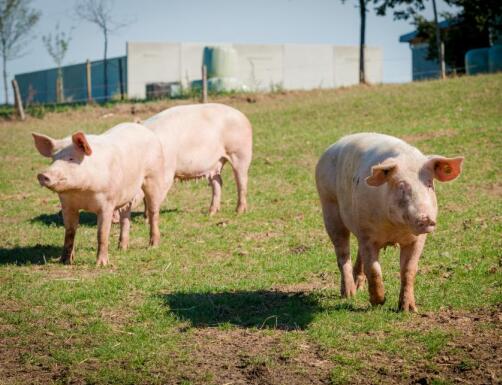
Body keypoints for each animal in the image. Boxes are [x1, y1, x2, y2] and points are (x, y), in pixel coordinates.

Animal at [33, 122, 167, 264]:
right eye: (53, 159)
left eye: (71, 159)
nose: (42, 175)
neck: (81, 192)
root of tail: (145, 130)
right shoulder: (67, 205)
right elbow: (69, 232)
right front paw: (64, 262)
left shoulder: (107, 203)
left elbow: (102, 233)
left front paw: (101, 264)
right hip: (126, 193)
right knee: (125, 217)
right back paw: (122, 248)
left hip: (153, 176)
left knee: (153, 212)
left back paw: (153, 246)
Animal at [120, 102, 253, 216]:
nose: (116, 219)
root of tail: (242, 116)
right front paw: (145, 216)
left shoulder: (167, 171)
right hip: (216, 162)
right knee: (218, 182)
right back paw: (211, 213)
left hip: (241, 152)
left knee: (242, 180)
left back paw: (239, 211)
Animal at [316, 134, 464, 310]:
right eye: (401, 186)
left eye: (429, 184)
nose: (426, 219)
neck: (394, 228)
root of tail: (334, 145)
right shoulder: (367, 234)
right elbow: (374, 269)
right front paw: (378, 302)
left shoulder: (417, 239)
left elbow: (409, 269)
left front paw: (408, 309)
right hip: (329, 205)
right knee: (343, 253)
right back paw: (349, 294)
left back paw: (359, 287)